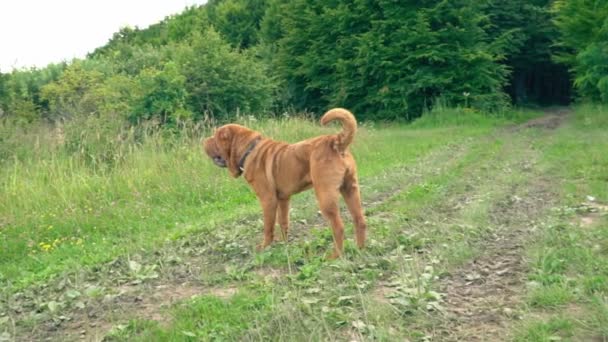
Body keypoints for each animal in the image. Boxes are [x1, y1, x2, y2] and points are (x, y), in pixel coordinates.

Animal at [203, 108, 366, 258]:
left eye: (215, 138)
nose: (203, 141)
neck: (248, 150)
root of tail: (336, 140)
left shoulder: (268, 200)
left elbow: (268, 226)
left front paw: (265, 247)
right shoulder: (283, 199)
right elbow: (283, 222)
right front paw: (285, 244)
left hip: (325, 196)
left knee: (338, 227)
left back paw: (334, 256)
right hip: (350, 189)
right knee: (360, 220)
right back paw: (360, 249)